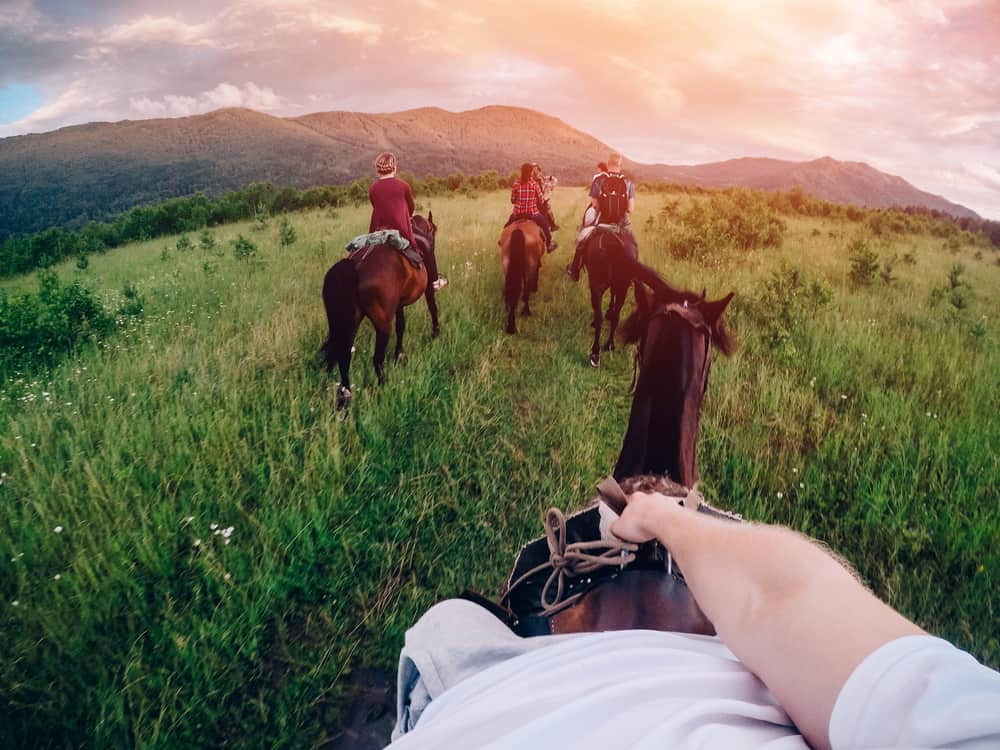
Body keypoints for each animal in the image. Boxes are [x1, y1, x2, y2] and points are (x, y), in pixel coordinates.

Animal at [322, 212, 440, 412]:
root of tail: (355, 265)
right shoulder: (427, 285)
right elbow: (432, 307)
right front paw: (435, 333)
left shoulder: (398, 304)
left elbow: (401, 326)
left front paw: (399, 354)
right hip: (383, 323)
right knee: (377, 359)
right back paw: (384, 386)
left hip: (351, 322)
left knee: (344, 357)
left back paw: (345, 399)